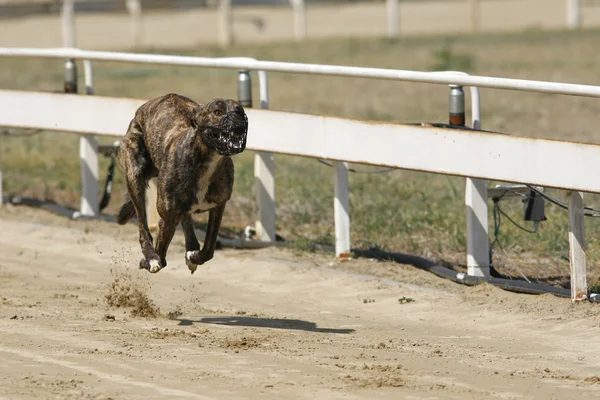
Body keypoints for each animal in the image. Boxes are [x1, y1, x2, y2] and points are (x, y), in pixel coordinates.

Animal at [116, 94, 247, 276]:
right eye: (217, 111)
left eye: (240, 112)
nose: (239, 126)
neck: (206, 160)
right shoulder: (168, 218)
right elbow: (161, 257)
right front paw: (149, 261)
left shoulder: (219, 206)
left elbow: (209, 249)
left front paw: (194, 257)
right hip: (135, 171)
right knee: (143, 225)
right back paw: (150, 256)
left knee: (185, 220)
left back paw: (191, 248)